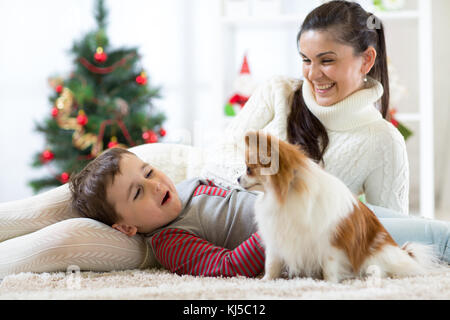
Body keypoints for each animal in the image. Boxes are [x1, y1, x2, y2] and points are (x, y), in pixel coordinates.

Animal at [239, 131, 440, 282]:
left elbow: (329, 266)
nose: (238, 178)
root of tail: (402, 253)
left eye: (248, 169)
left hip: (376, 255)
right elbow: (272, 263)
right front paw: (265, 281)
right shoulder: (276, 237)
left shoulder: (332, 243)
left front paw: (329, 283)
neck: (289, 194)